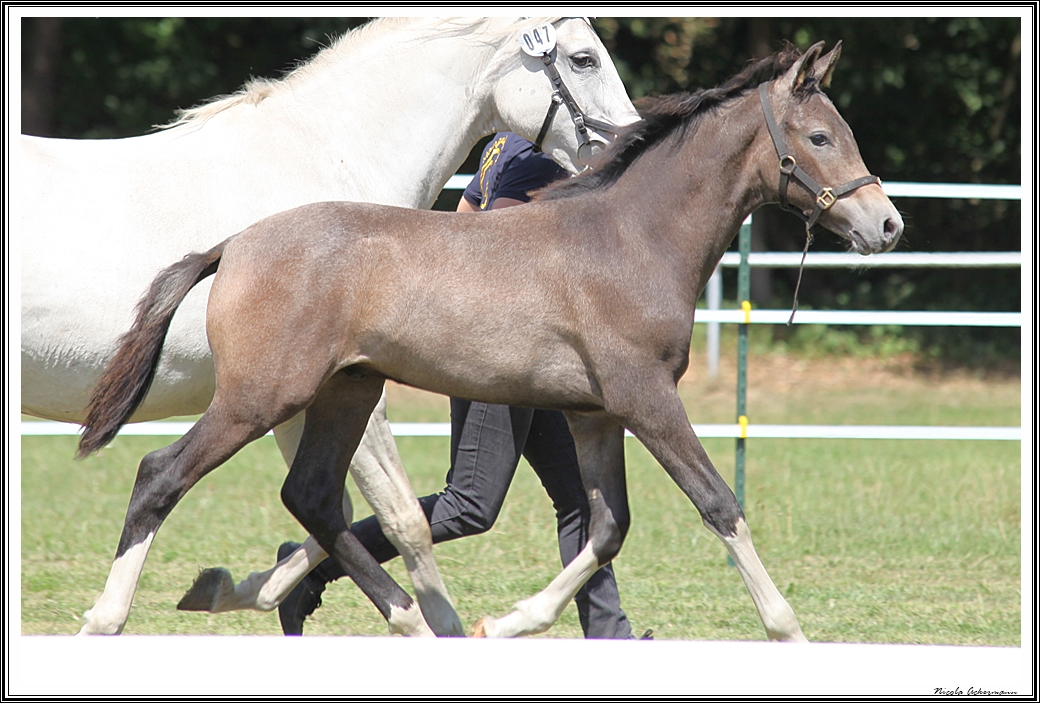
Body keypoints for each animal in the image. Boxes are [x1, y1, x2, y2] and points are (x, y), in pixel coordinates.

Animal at [22, 16, 640, 636]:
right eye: (583, 58)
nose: (630, 145)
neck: (331, 155)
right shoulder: (339, 392)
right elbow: (400, 518)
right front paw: (435, 623)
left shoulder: (313, 398)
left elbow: (332, 508)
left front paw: (241, 590)